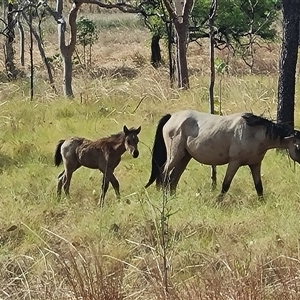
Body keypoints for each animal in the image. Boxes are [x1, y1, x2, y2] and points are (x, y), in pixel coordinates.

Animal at [145, 109, 300, 200]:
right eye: (298, 146)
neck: (253, 132)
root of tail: (172, 117)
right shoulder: (234, 162)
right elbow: (226, 185)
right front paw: (218, 202)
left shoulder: (255, 164)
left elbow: (259, 187)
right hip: (175, 154)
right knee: (164, 172)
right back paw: (164, 196)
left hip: (185, 157)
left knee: (173, 178)